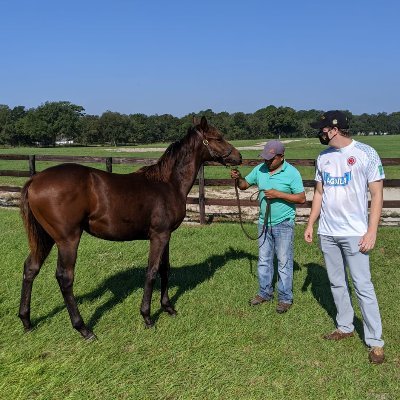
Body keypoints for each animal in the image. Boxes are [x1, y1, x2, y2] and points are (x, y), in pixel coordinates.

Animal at [18, 117, 242, 340]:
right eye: (218, 137)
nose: (238, 157)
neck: (168, 184)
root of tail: (34, 180)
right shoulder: (159, 236)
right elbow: (152, 272)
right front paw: (147, 317)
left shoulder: (166, 235)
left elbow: (165, 269)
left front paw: (168, 307)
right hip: (67, 239)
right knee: (65, 278)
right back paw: (83, 328)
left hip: (46, 237)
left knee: (31, 268)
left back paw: (26, 321)